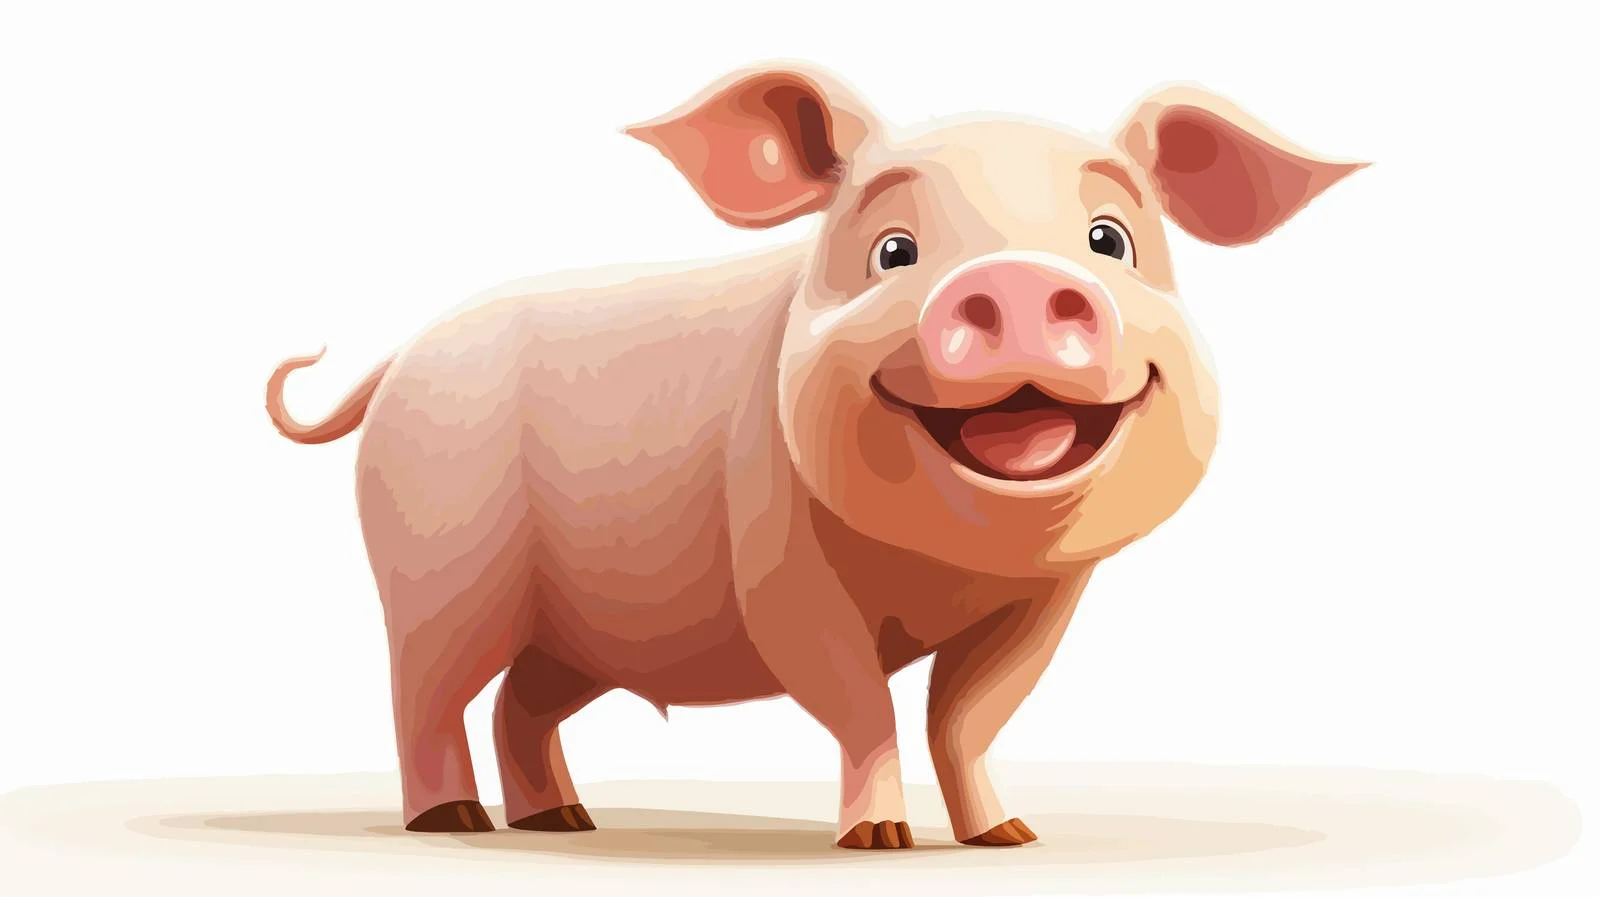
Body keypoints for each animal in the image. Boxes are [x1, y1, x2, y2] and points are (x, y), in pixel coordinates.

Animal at [265, 62, 1362, 849]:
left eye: (1110, 241)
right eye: (891, 251)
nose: (1011, 279)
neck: (947, 566)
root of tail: (402, 356)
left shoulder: (1048, 600)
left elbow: (969, 715)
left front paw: (1009, 836)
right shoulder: (776, 561)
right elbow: (858, 699)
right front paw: (877, 841)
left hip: (575, 629)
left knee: (519, 707)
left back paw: (565, 822)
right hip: (438, 571)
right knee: (424, 692)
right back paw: (451, 822)